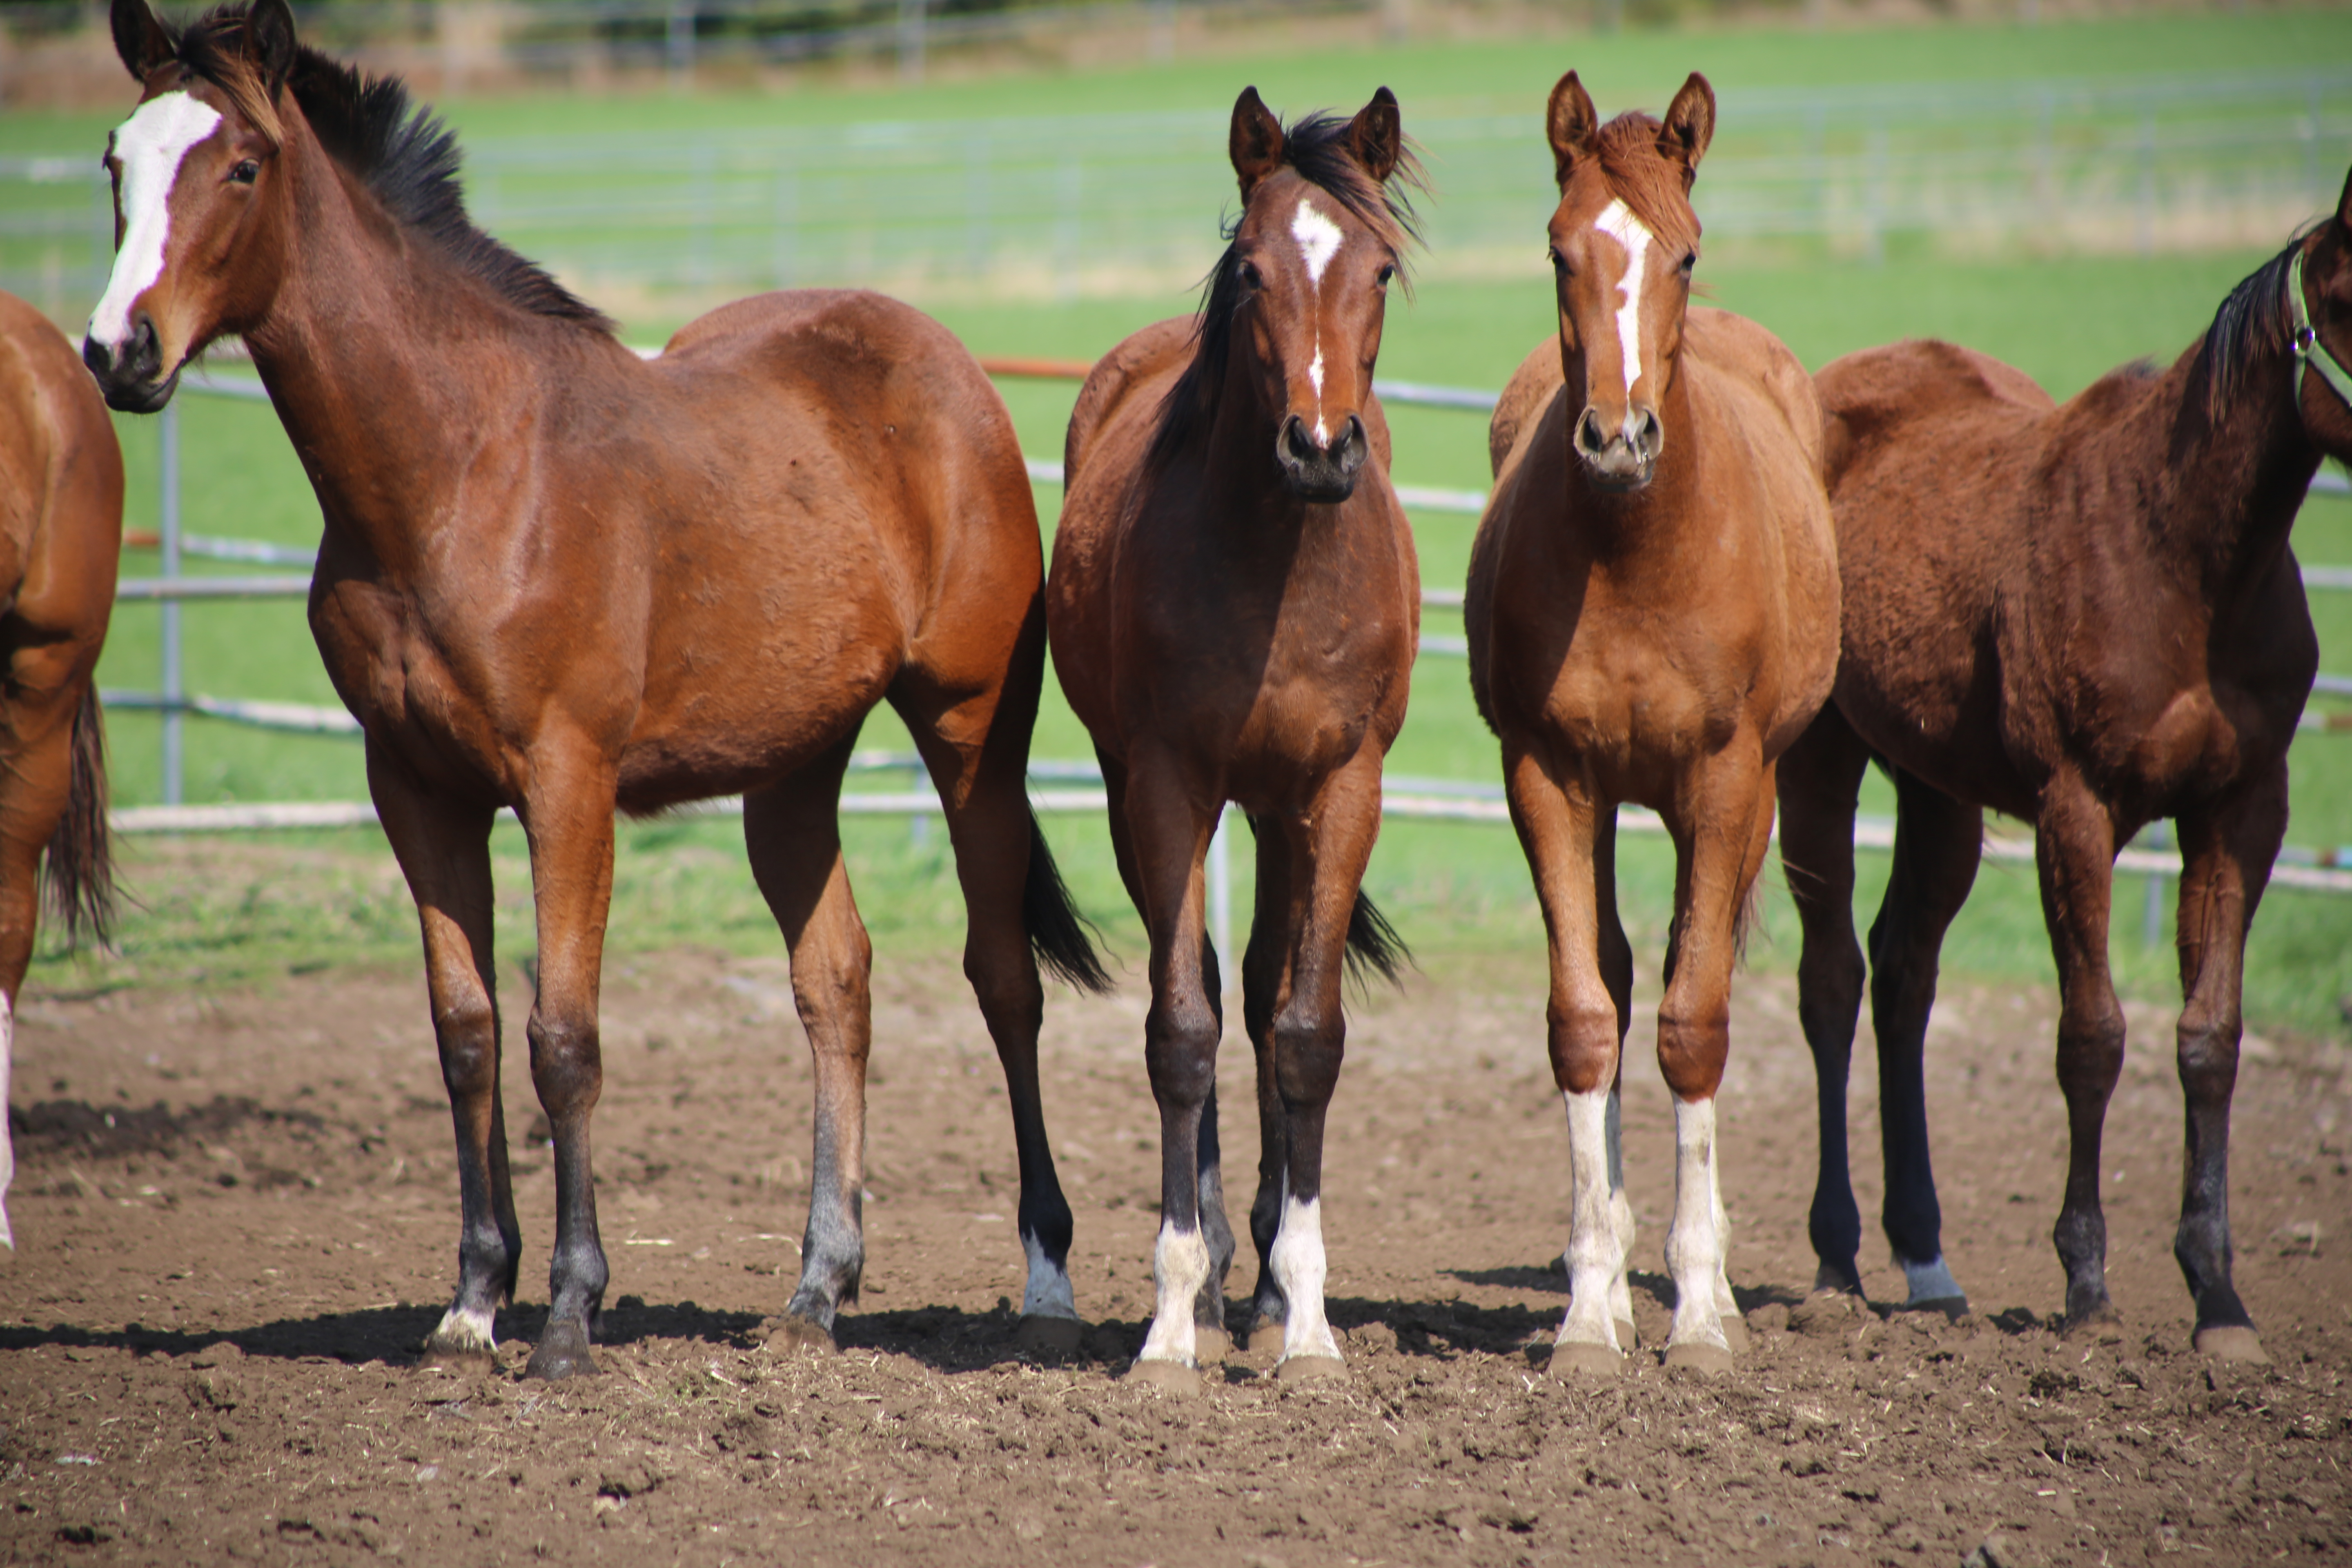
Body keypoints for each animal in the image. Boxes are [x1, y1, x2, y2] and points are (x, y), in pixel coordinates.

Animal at [76, 0, 1100, 1382]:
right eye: (116, 165)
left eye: (240, 165)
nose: (118, 351)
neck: (461, 471)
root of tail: (946, 365)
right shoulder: (415, 787)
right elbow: (465, 1031)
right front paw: (470, 1302)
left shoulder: (567, 783)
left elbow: (564, 1039)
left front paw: (568, 1312)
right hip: (793, 767)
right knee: (836, 979)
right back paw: (816, 1289)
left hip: (972, 727)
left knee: (1003, 978)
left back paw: (1044, 1276)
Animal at [1058, 89, 1421, 1382]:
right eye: (1255, 270)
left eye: (1379, 265)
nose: (1317, 447)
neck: (1279, 566)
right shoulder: (1166, 787)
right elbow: (1181, 1029)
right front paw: (1175, 1315)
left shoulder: (1342, 788)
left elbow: (1302, 1031)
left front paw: (1303, 1316)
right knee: (1215, 994)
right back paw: (1219, 1272)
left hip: (1278, 807)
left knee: (1265, 992)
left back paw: (1260, 1278)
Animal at [1468, 73, 1834, 1373]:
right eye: (1558, 248)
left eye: (1683, 252)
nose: (1618, 438)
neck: (1636, 545)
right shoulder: (1547, 777)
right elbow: (1589, 1018)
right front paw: (1590, 1309)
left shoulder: (1724, 782)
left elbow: (1694, 1022)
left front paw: (1701, 1312)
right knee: (1626, 976)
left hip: (1742, 795)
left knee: (1692, 965)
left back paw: (1703, 1283)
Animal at [1768, 162, 2352, 1363]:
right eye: (2351, 300)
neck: (2178, 554)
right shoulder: (2076, 811)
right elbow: (2091, 1036)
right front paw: (2086, 1281)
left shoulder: (2240, 810)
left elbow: (2208, 1038)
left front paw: (2217, 1295)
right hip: (1818, 766)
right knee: (1832, 980)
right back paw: (1837, 1259)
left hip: (1937, 790)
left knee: (1903, 974)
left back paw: (1925, 1258)